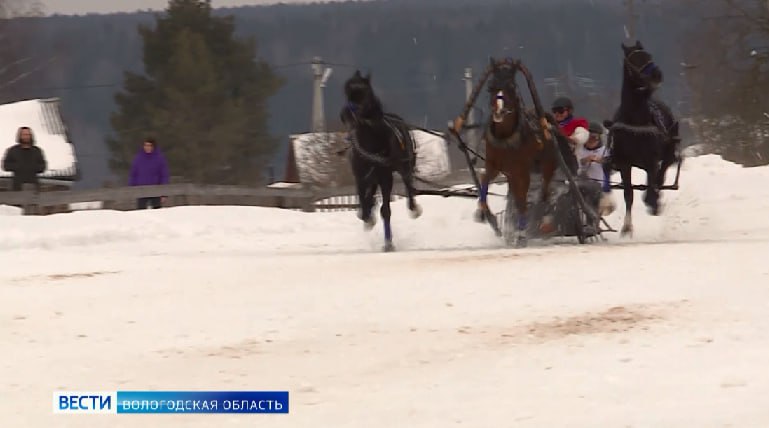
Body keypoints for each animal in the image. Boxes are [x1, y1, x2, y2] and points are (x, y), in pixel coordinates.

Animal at [340, 70, 422, 252]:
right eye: (347, 91)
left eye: (364, 93)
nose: (345, 114)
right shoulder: (360, 176)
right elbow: (364, 205)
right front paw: (368, 218)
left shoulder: (386, 176)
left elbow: (386, 210)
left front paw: (389, 244)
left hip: (404, 165)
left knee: (408, 184)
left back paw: (413, 208)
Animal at [460, 58, 569, 248]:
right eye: (490, 86)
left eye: (511, 87)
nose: (499, 111)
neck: (506, 138)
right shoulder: (494, 165)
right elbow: (484, 182)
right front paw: (482, 213)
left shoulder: (522, 170)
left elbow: (522, 201)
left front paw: (521, 235)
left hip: (547, 163)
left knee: (543, 190)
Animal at [603, 40, 682, 237]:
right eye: (634, 60)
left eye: (648, 55)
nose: (657, 74)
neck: (635, 121)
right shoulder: (624, 163)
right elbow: (628, 194)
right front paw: (627, 227)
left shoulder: (651, 160)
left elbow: (653, 183)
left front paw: (652, 202)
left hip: (668, 148)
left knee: (663, 169)